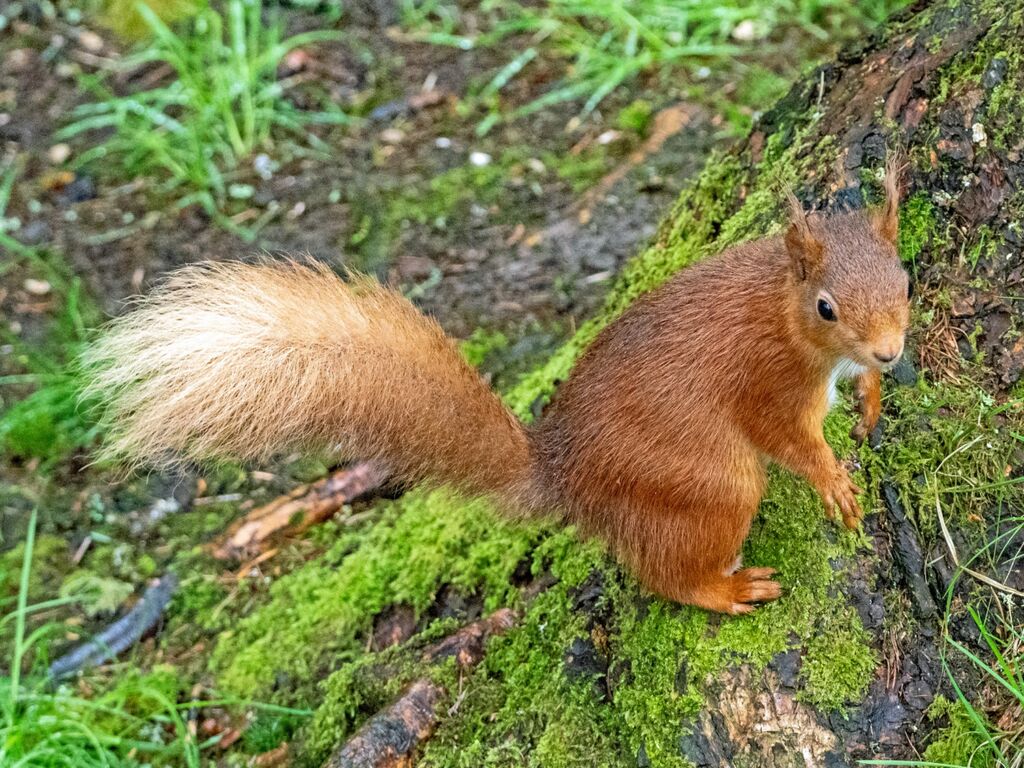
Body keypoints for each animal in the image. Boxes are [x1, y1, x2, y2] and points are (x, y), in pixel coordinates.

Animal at [84, 160, 910, 615]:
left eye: (905, 278)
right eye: (826, 307)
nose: (893, 349)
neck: (782, 307)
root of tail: (565, 474)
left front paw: (872, 398)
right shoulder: (766, 381)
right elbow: (788, 438)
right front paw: (834, 481)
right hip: (706, 483)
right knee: (668, 572)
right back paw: (725, 588)